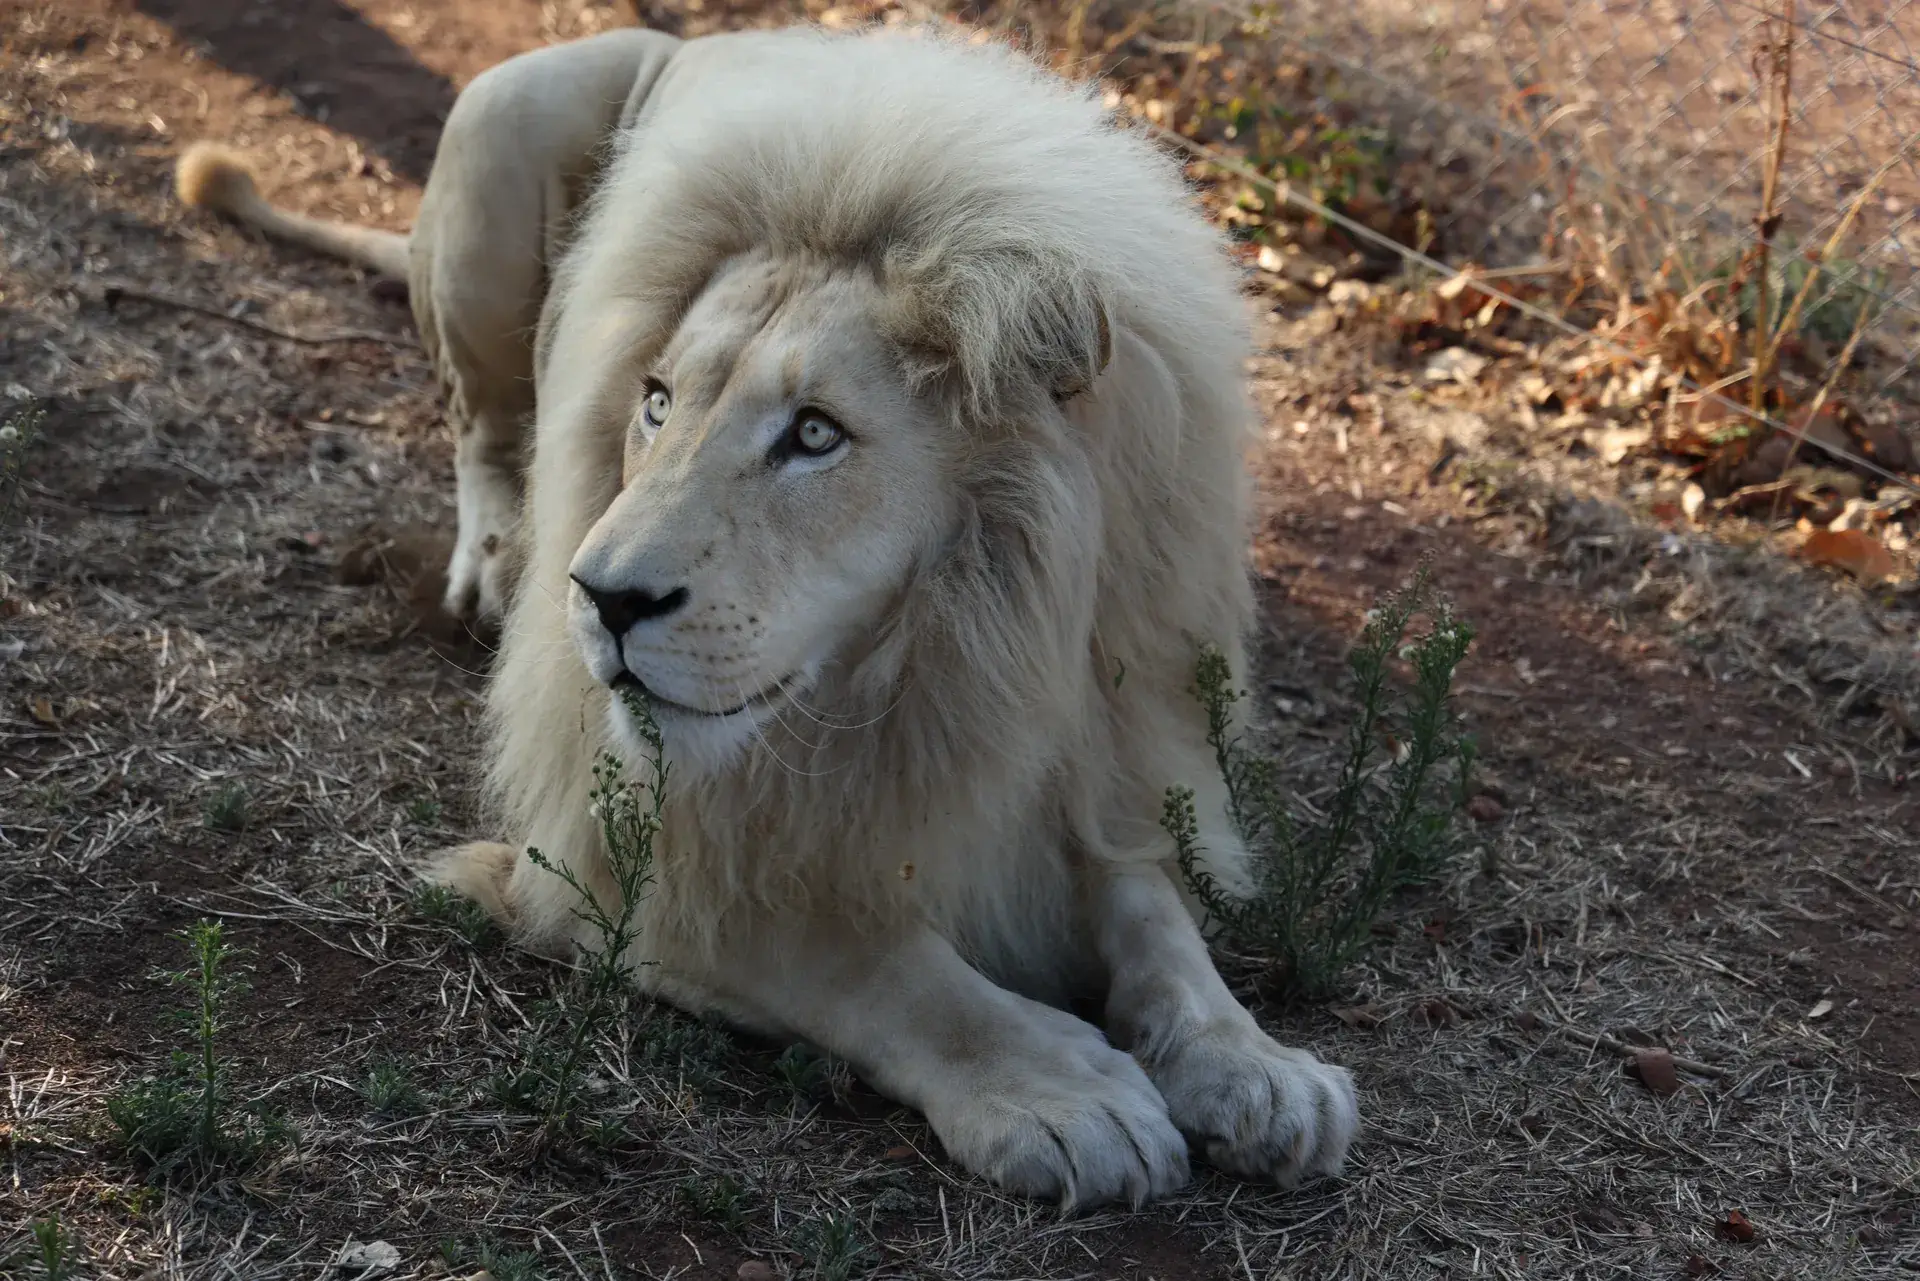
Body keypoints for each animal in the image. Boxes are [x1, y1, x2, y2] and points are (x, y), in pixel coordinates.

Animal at [174, 23, 1360, 1208]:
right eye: (657, 402)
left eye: (816, 434)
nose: (601, 599)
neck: (943, 649)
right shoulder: (610, 863)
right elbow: (872, 962)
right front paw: (1067, 1094)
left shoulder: (1100, 759)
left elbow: (1158, 920)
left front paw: (1259, 1069)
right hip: (507, 129)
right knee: (483, 424)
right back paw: (492, 565)